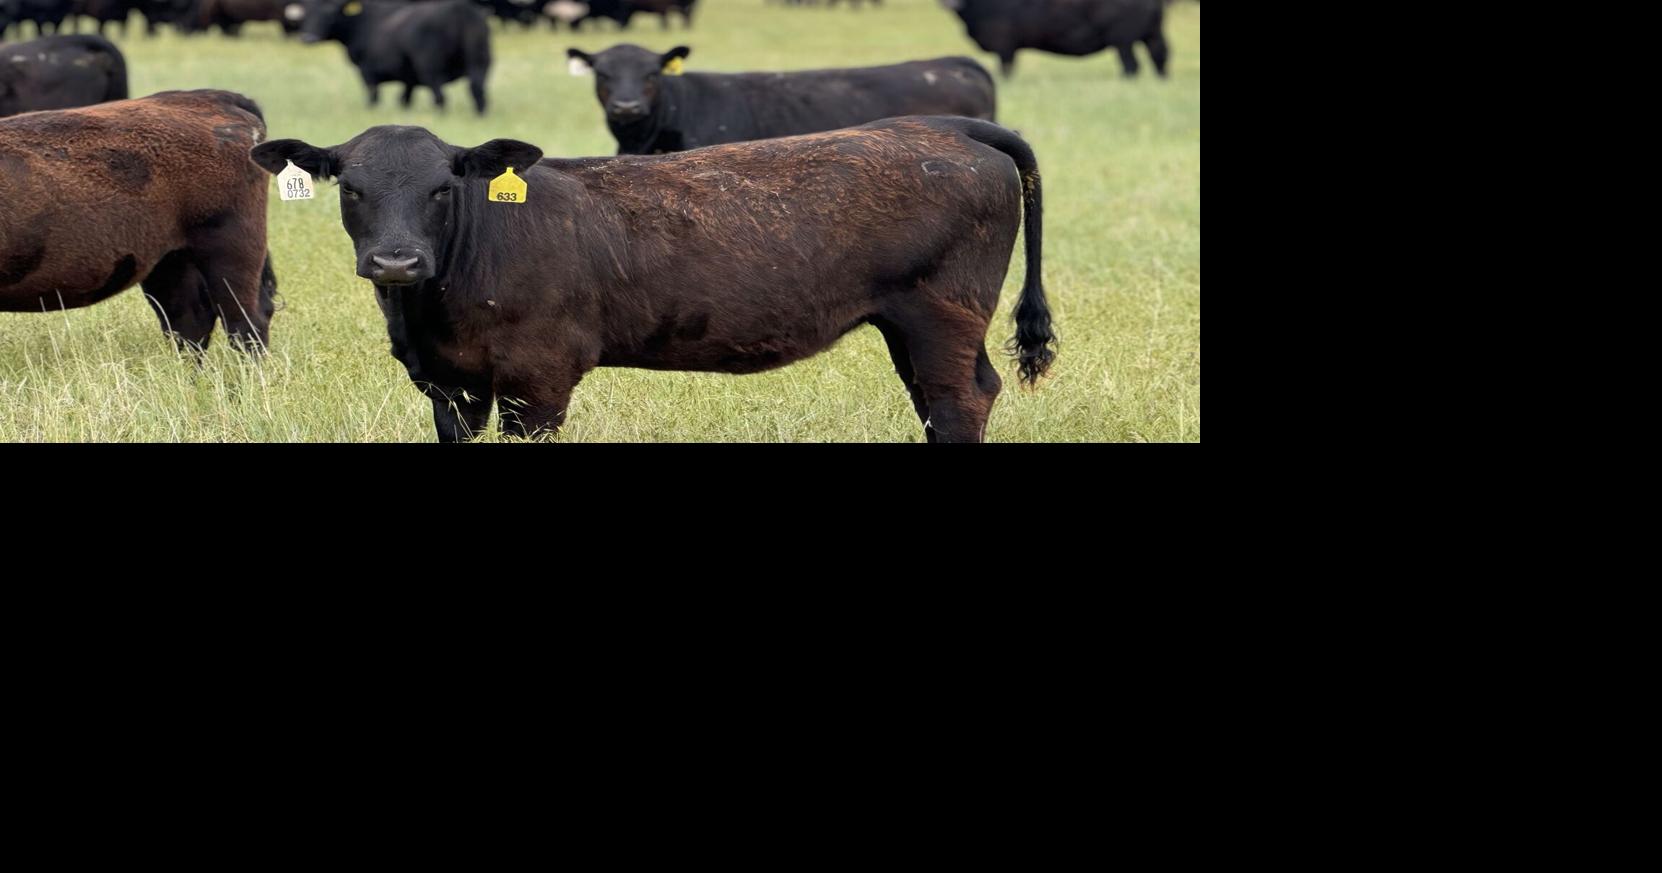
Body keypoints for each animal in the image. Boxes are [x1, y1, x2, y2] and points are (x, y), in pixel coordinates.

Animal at [248, 117, 1053, 443]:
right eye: (351, 188)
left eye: (444, 188)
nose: (396, 261)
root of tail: (943, 127)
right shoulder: (450, 386)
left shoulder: (538, 380)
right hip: (910, 323)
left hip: (942, 312)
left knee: (960, 401)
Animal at [297, 0, 492, 114]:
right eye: (307, 14)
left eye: (330, 13)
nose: (308, 38)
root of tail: (460, 9)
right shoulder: (409, 77)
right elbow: (404, 99)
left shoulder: (367, 70)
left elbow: (373, 97)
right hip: (480, 61)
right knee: (478, 92)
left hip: (431, 68)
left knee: (441, 98)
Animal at [939, 0, 1168, 78]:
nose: (950, 4)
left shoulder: (1004, 42)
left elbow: (1006, 69)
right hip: (1151, 33)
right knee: (1160, 56)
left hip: (1123, 39)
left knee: (1131, 65)